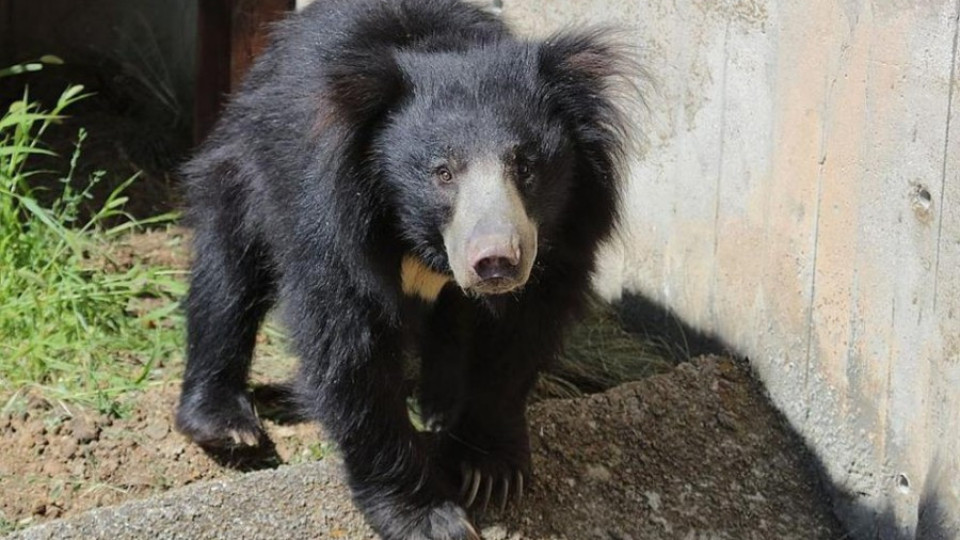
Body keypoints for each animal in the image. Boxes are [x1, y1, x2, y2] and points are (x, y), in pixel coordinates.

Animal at [176, 0, 632, 536]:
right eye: (442, 172)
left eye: (526, 168)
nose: (496, 261)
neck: (423, 243)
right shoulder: (332, 225)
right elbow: (352, 356)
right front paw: (428, 516)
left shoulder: (564, 235)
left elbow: (519, 336)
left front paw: (489, 470)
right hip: (242, 166)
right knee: (228, 273)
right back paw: (226, 426)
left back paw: (438, 404)